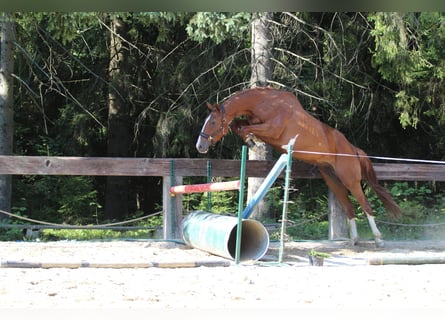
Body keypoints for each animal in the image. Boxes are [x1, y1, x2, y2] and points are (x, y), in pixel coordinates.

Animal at [196, 85, 400, 248]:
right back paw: (354, 240)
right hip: (332, 179)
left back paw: (378, 239)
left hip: (350, 179)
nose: (200, 146)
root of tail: (352, 149)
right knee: (349, 207)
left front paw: (251, 141)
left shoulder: (271, 130)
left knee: (365, 205)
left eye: (212, 122)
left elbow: (244, 128)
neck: (266, 103)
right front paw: (250, 140)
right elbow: (238, 125)